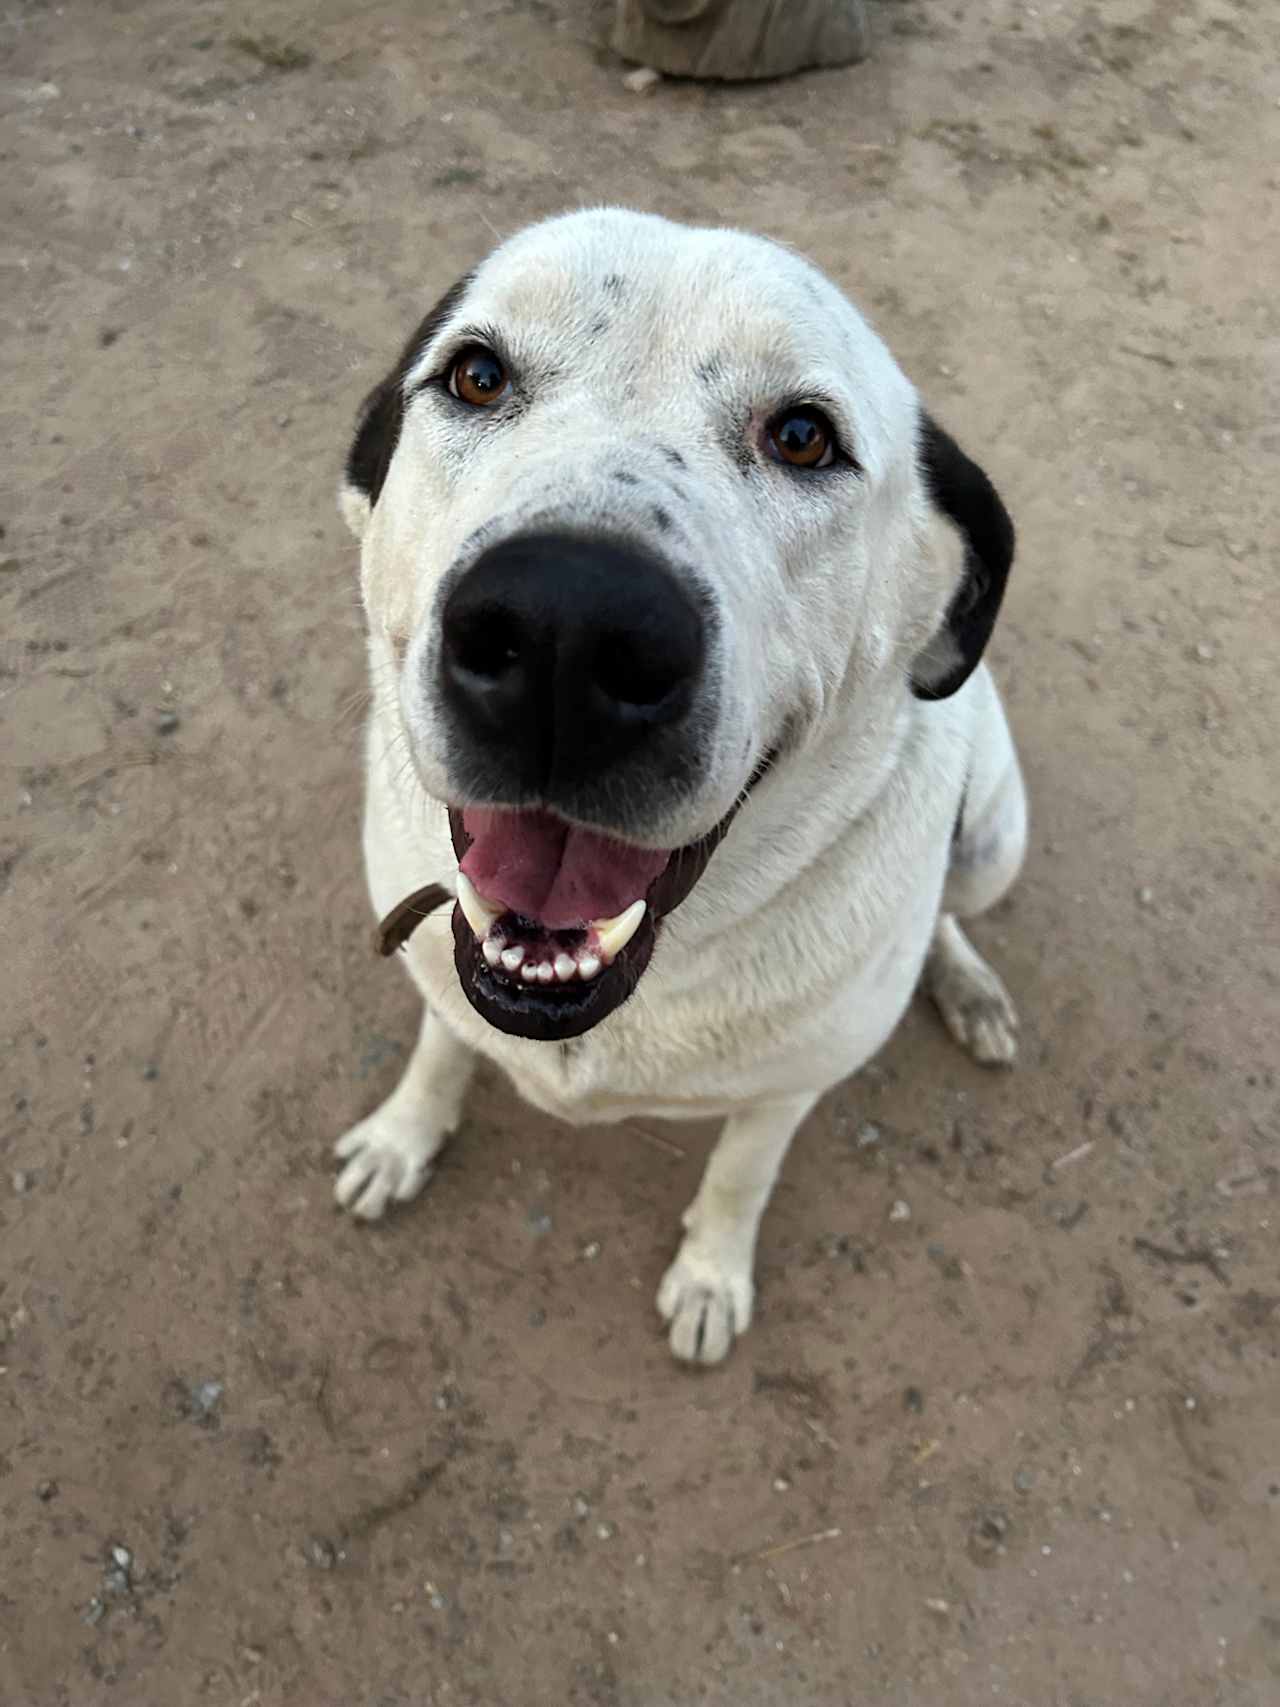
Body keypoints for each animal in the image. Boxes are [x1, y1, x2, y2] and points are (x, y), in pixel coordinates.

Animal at [332, 206, 1030, 1365]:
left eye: (803, 437)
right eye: (475, 374)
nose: (564, 629)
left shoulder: (789, 1088)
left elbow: (742, 1173)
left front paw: (710, 1276)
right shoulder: (442, 963)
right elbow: (440, 1047)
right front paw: (401, 1136)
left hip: (992, 841)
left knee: (950, 910)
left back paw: (968, 985)